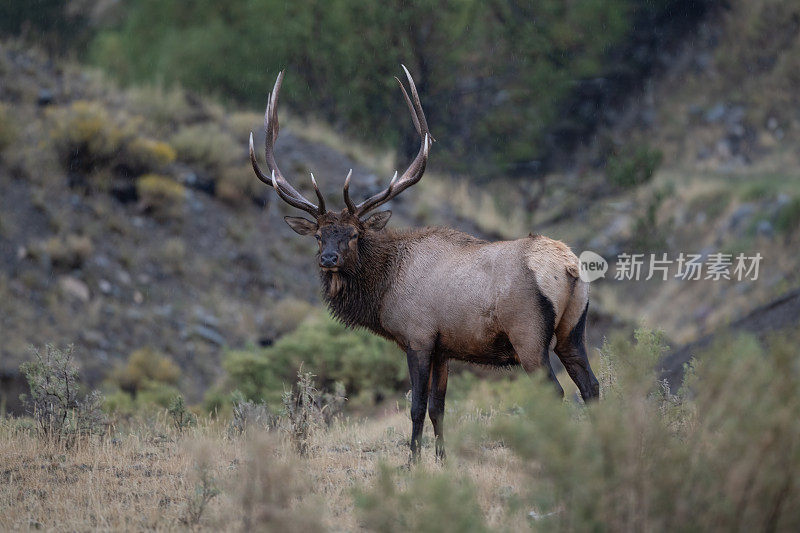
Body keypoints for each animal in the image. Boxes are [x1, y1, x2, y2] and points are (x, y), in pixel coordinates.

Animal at [250, 66, 600, 460]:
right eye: (319, 235)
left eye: (354, 233)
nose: (328, 259)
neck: (383, 291)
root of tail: (568, 266)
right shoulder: (443, 348)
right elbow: (438, 407)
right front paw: (442, 459)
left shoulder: (417, 337)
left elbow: (416, 406)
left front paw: (412, 461)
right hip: (573, 329)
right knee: (591, 386)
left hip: (529, 335)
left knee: (556, 392)